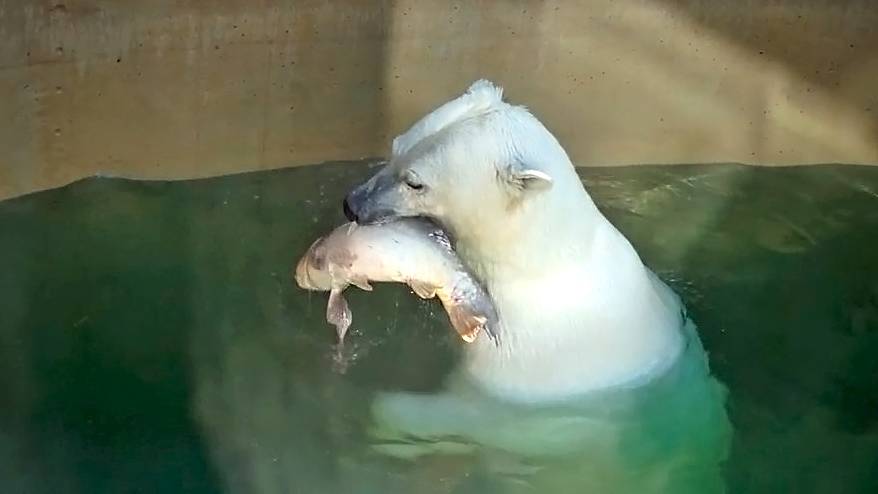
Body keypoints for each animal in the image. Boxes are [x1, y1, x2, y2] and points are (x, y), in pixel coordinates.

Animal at [342, 80, 731, 492]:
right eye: (395, 147)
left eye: (415, 182)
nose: (351, 204)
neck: (546, 259)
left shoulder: (527, 370)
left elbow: (477, 418)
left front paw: (382, 412)